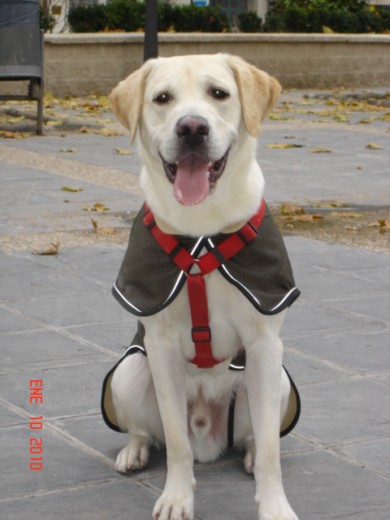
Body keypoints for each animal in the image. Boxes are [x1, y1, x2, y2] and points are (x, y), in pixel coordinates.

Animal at [101, 53, 302, 520]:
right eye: (162, 98)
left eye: (218, 93)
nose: (192, 127)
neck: (200, 229)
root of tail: (208, 438)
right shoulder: (159, 345)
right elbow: (176, 443)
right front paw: (177, 497)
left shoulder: (265, 342)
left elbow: (271, 448)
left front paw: (275, 506)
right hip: (129, 372)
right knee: (150, 432)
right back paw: (133, 451)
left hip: (278, 380)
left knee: (256, 437)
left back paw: (248, 455)